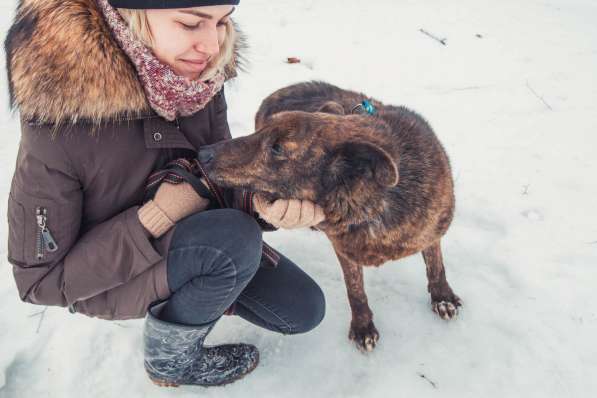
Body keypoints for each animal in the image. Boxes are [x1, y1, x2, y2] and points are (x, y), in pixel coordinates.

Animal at [198, 80, 464, 352]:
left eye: (277, 148)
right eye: (262, 134)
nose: (202, 153)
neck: (372, 206)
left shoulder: (431, 230)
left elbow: (435, 264)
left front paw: (442, 296)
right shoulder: (345, 251)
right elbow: (355, 290)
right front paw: (363, 326)